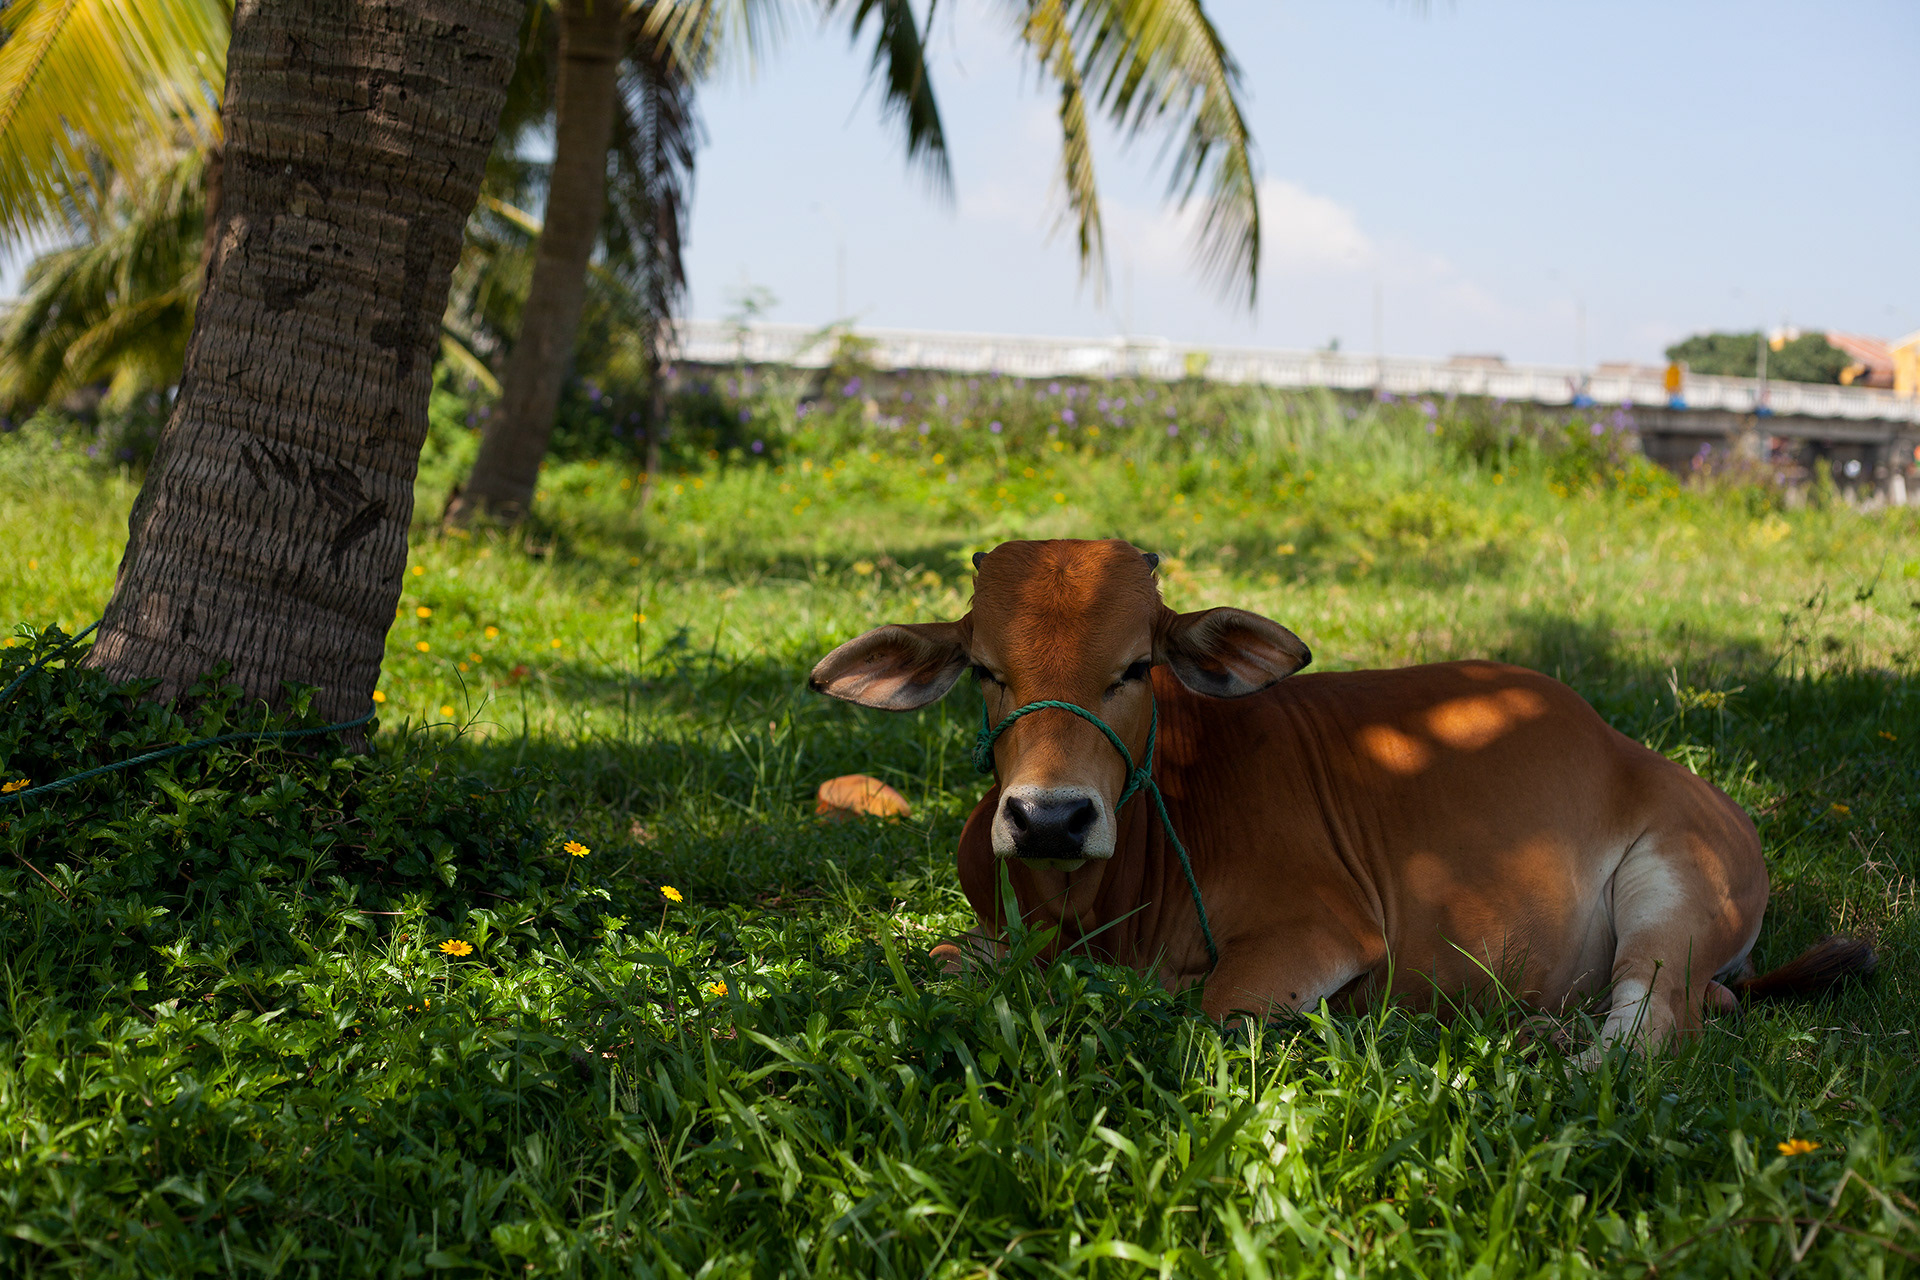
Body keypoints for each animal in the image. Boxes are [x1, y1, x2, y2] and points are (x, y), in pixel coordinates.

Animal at [809, 538, 1873, 1053]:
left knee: (1652, 1030)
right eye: (986, 670)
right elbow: (946, 958)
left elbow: (1213, 1008)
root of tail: (1635, 751)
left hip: (1678, 891)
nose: (1049, 817)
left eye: (1137, 666)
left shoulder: (1320, 931)